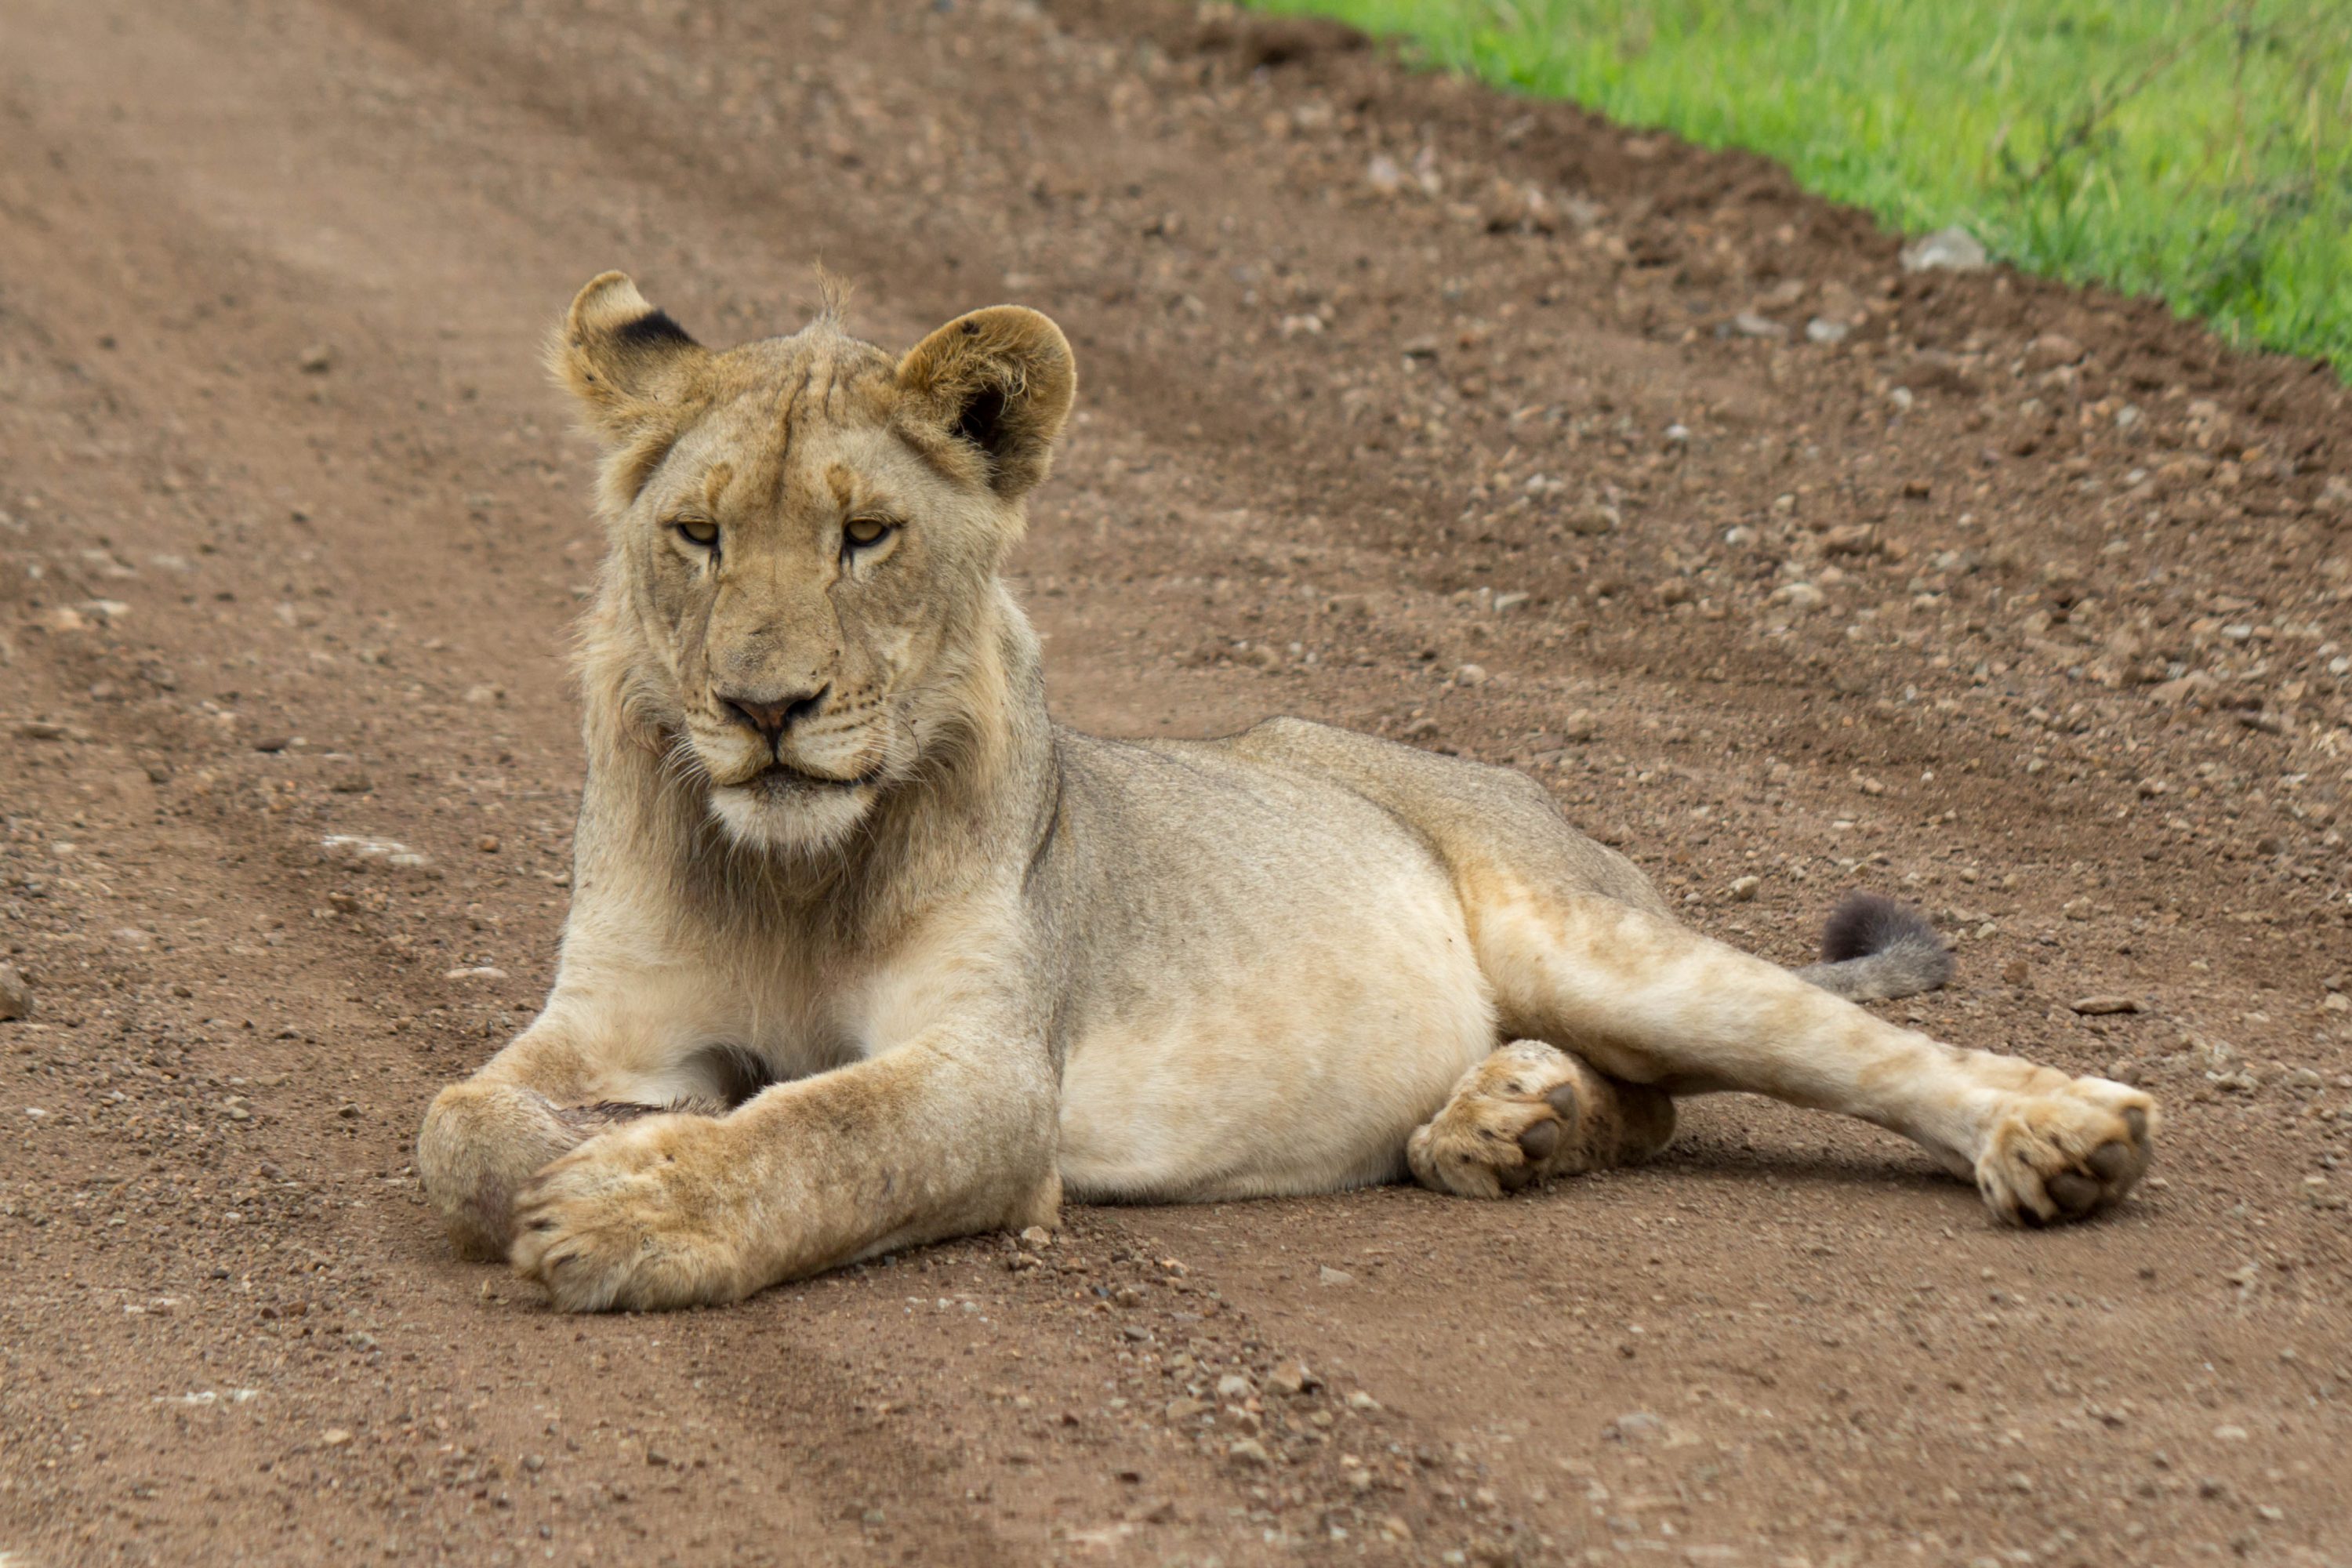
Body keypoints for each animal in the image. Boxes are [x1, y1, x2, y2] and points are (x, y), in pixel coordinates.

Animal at [414, 274, 2158, 1312]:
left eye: (864, 537)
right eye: (699, 536)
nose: (763, 709)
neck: (789, 864)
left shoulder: (995, 1073)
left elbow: (819, 1130)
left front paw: (628, 1206)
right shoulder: (612, 1014)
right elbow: (458, 1127)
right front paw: (586, 1153)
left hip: (1598, 941)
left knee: (1846, 1053)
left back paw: (2063, 1137)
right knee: (1653, 1103)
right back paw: (1508, 1121)